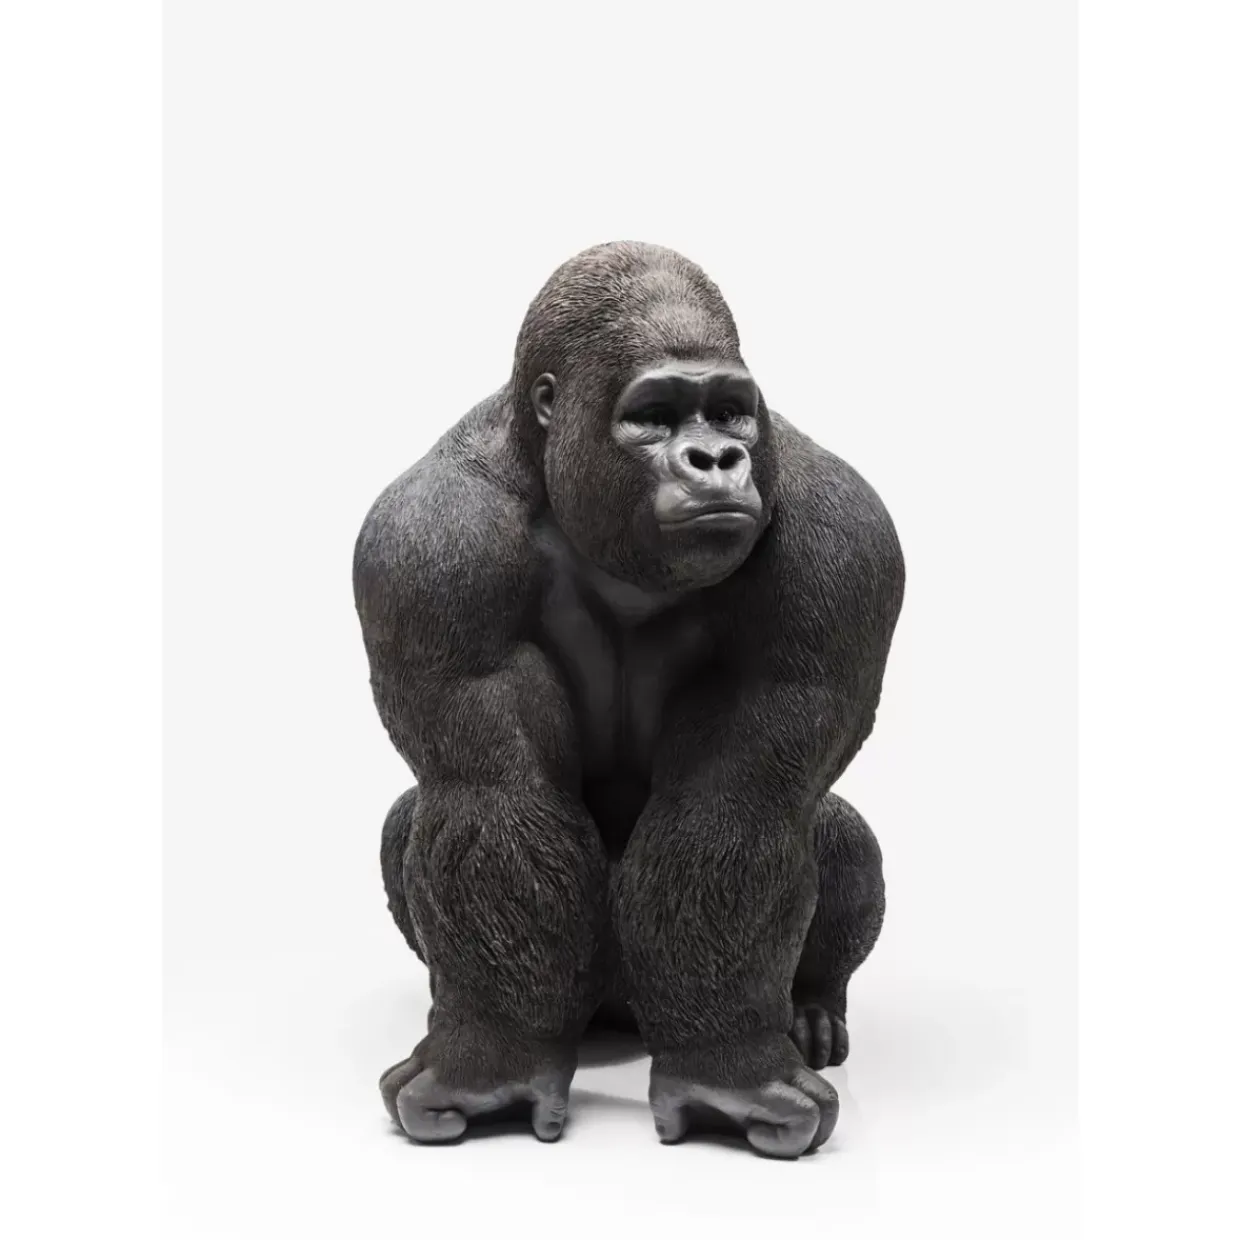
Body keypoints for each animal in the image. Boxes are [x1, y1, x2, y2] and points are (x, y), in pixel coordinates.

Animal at [354, 241, 903, 1158]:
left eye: (729, 413)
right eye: (653, 417)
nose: (716, 460)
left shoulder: (847, 545)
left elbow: (736, 807)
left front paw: (727, 1065)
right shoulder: (427, 545)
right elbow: (492, 798)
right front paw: (492, 1055)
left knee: (841, 835)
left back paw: (811, 1008)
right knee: (412, 821)